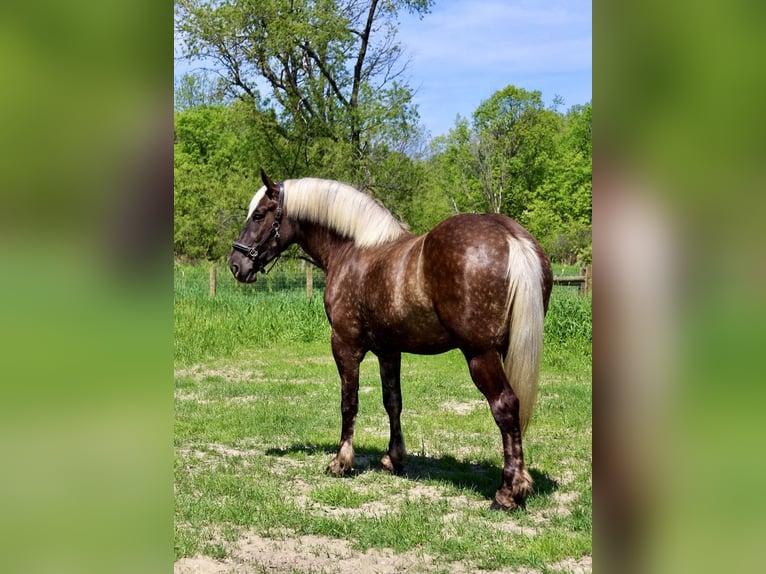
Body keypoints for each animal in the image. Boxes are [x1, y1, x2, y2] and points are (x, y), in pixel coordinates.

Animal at [228, 171, 552, 512]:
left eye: (259, 215)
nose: (236, 264)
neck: (353, 249)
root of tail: (510, 237)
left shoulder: (344, 345)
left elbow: (349, 403)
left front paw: (341, 462)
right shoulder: (389, 350)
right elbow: (392, 401)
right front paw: (393, 459)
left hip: (481, 354)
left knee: (505, 406)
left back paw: (508, 492)